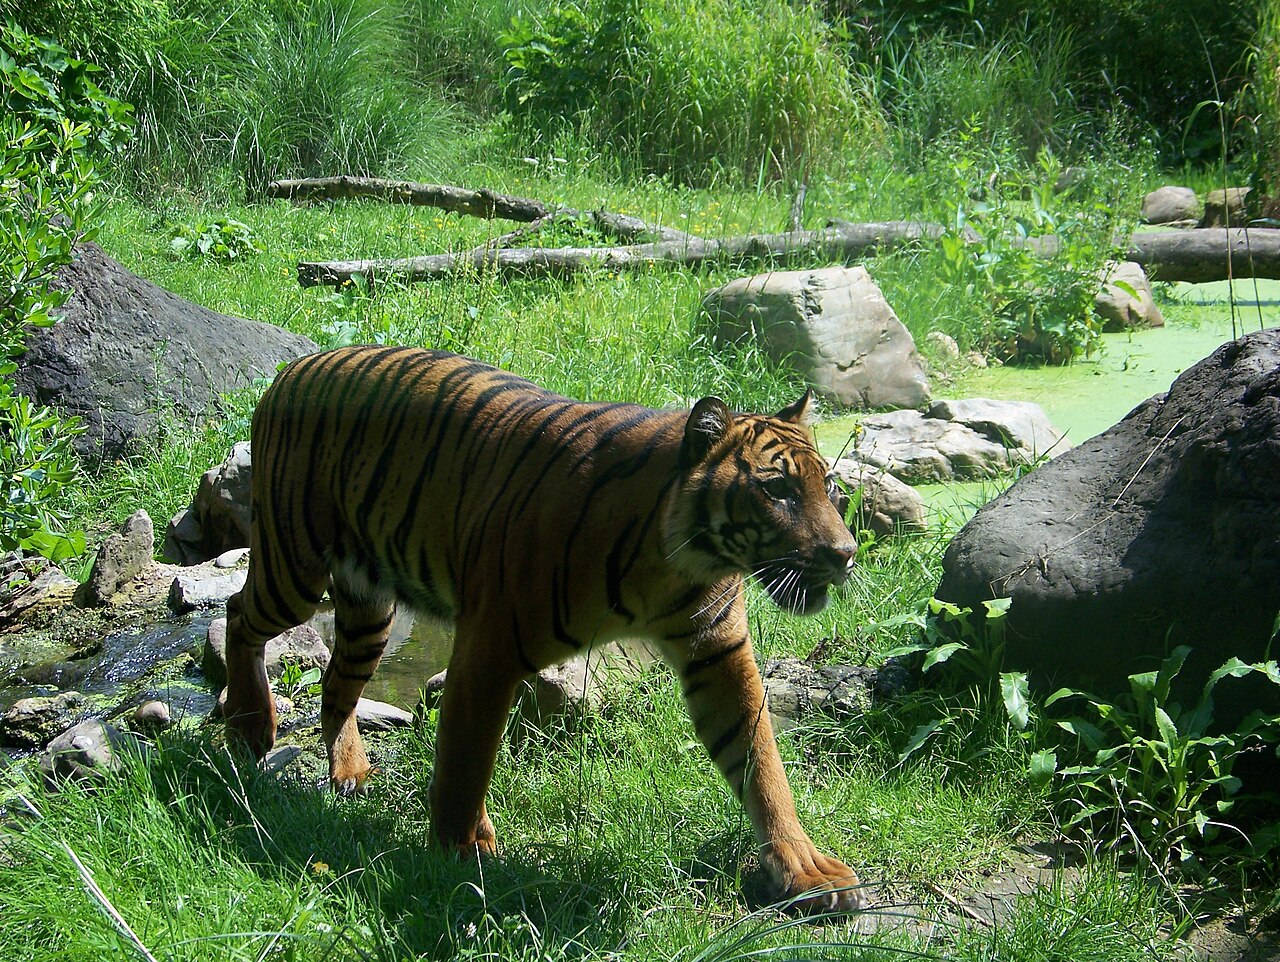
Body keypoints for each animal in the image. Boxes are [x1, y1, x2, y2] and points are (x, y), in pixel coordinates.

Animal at [223, 344, 867, 913]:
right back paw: (250, 724)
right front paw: (455, 856)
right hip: (294, 569)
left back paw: (349, 770)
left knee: (337, 682)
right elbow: (465, 761)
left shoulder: (719, 653)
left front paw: (805, 870)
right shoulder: (489, 649)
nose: (845, 554)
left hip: (369, 608)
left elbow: (761, 764)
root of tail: (294, 368)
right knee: (236, 613)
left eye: (831, 488)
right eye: (777, 490)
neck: (677, 563)